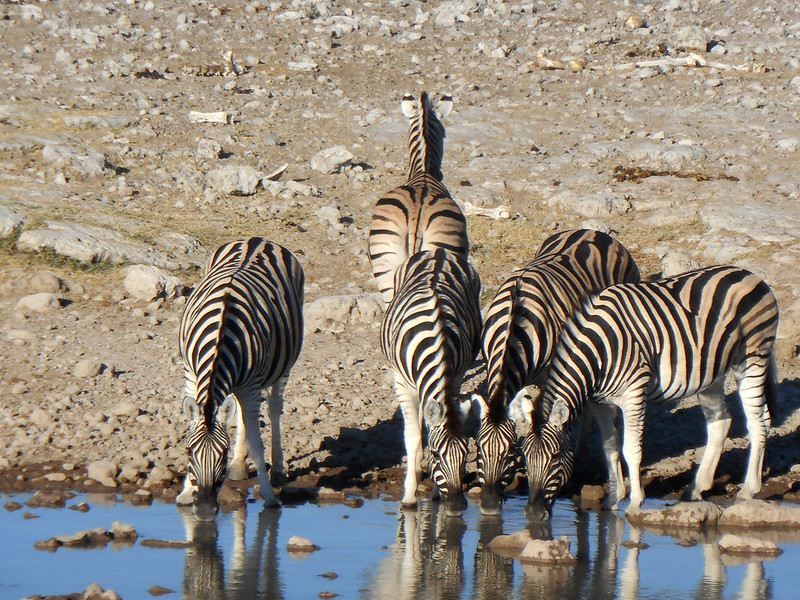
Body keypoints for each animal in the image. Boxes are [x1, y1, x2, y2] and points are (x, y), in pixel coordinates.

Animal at [175, 237, 304, 516]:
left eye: (222, 453)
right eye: (189, 451)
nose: (204, 509)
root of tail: (258, 239)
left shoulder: (252, 386)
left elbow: (257, 442)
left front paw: (269, 497)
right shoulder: (190, 373)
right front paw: (186, 492)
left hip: (283, 364)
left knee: (274, 407)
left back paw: (278, 469)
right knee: (241, 412)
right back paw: (239, 467)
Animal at [382, 248, 482, 516]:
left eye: (466, 454)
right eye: (436, 455)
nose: (457, 506)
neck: (438, 341)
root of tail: (439, 252)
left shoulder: (456, 377)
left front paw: (436, 496)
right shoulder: (401, 383)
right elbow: (414, 437)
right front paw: (409, 496)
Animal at [472, 227, 640, 512]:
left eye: (509, 451)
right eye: (480, 451)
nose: (489, 505)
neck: (514, 323)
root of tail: (593, 232)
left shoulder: (550, 372)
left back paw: (582, 453)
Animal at [512, 264, 780, 516]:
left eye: (556, 457)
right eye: (524, 456)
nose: (533, 513)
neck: (598, 354)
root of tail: (749, 274)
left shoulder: (634, 394)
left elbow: (630, 448)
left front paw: (635, 502)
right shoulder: (600, 404)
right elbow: (610, 448)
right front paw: (612, 501)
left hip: (752, 359)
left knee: (758, 421)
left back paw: (748, 489)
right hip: (710, 373)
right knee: (721, 422)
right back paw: (697, 487)